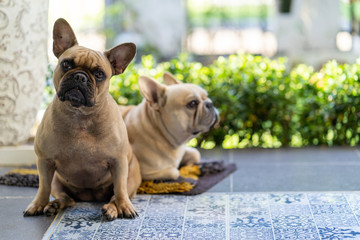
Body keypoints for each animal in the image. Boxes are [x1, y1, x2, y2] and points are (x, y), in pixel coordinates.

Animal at [23, 18, 141, 221]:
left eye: (99, 74)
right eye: (67, 64)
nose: (80, 76)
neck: (80, 116)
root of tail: (89, 197)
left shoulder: (119, 163)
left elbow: (120, 189)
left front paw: (125, 206)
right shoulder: (45, 162)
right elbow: (43, 187)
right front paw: (38, 204)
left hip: (131, 177)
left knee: (114, 195)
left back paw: (112, 209)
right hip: (57, 181)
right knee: (67, 198)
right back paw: (54, 205)